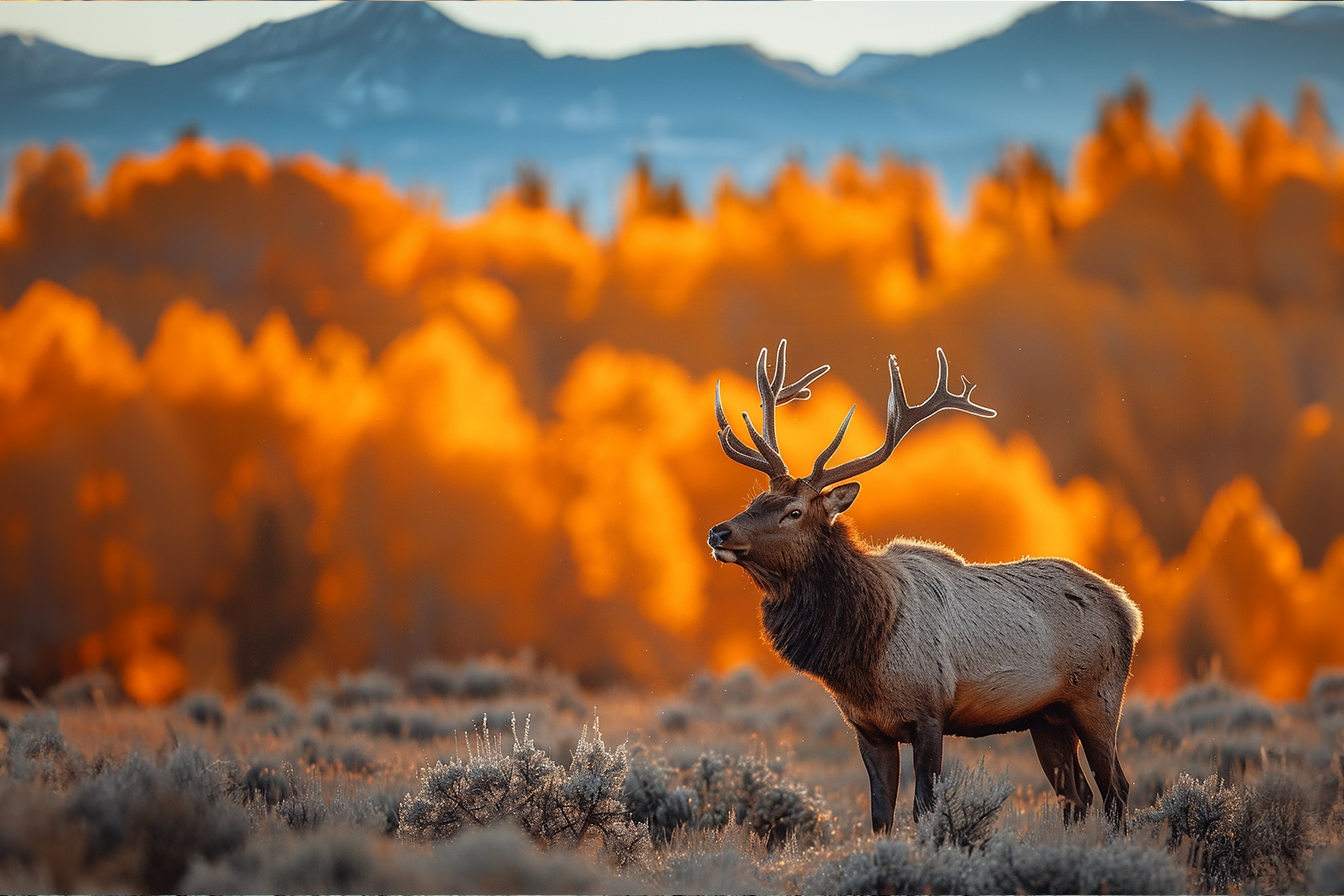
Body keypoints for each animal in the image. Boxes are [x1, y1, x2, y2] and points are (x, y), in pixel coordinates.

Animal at [709, 339, 1139, 832]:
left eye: (793, 512)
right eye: (757, 499)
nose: (719, 532)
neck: (864, 653)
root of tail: (1129, 610)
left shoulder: (930, 713)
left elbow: (925, 810)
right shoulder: (868, 728)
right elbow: (881, 816)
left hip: (1099, 697)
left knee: (1115, 788)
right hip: (1046, 716)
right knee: (1076, 794)